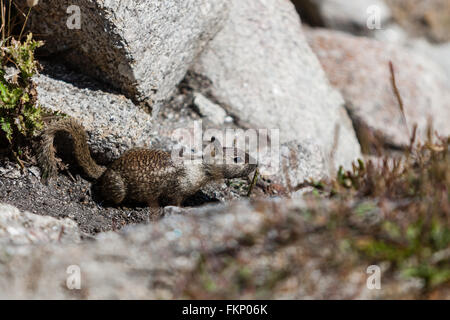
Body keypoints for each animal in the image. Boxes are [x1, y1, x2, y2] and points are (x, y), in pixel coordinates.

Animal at [37, 119, 256, 206]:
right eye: (237, 159)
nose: (256, 164)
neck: (198, 167)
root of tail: (107, 169)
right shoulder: (178, 189)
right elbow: (175, 202)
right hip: (119, 189)